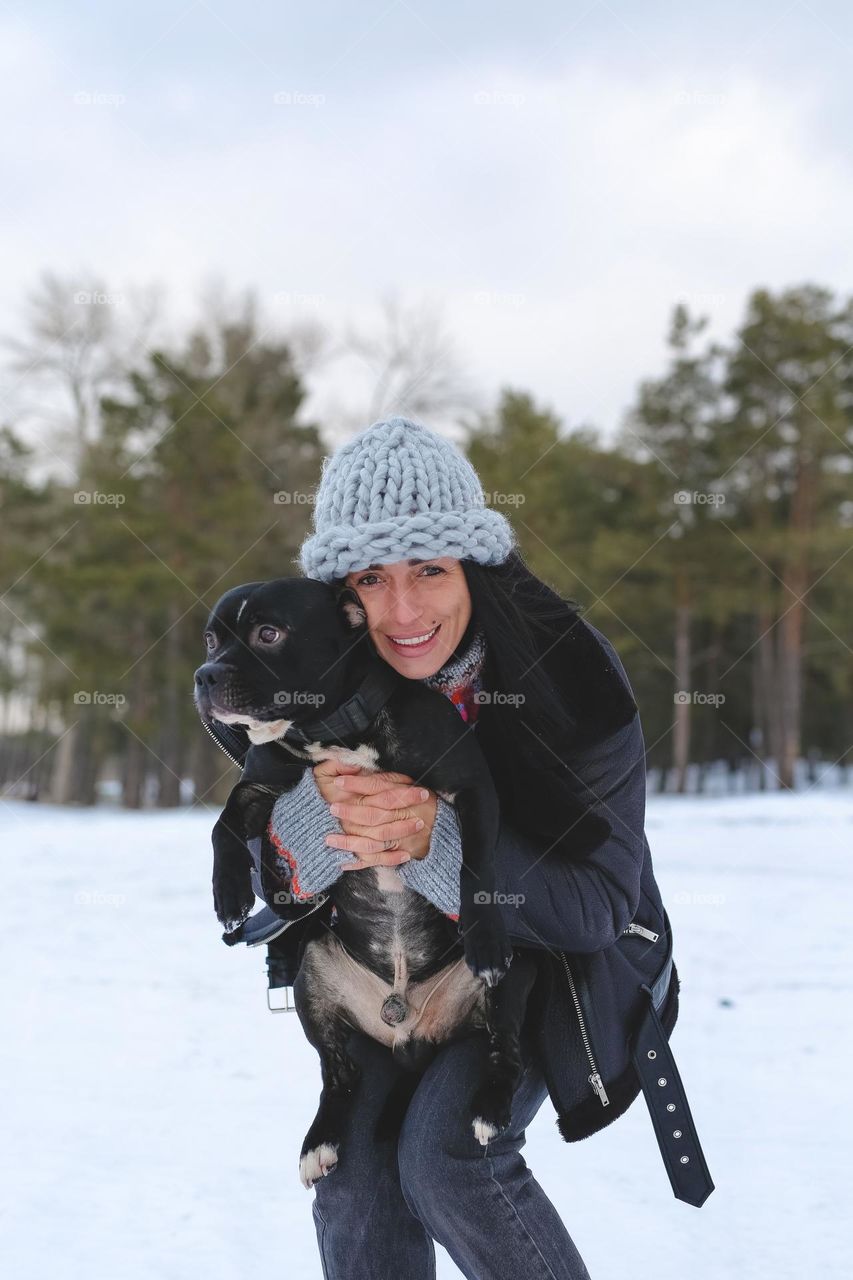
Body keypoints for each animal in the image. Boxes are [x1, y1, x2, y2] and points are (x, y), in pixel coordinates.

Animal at [195, 581, 535, 1187]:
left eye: (268, 633)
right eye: (211, 639)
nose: (205, 674)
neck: (332, 732)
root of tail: (411, 1034)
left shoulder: (473, 791)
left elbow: (475, 868)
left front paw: (484, 935)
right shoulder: (264, 783)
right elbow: (224, 823)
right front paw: (231, 891)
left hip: (512, 986)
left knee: (506, 1054)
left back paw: (490, 1112)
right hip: (313, 974)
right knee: (340, 1075)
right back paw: (320, 1142)